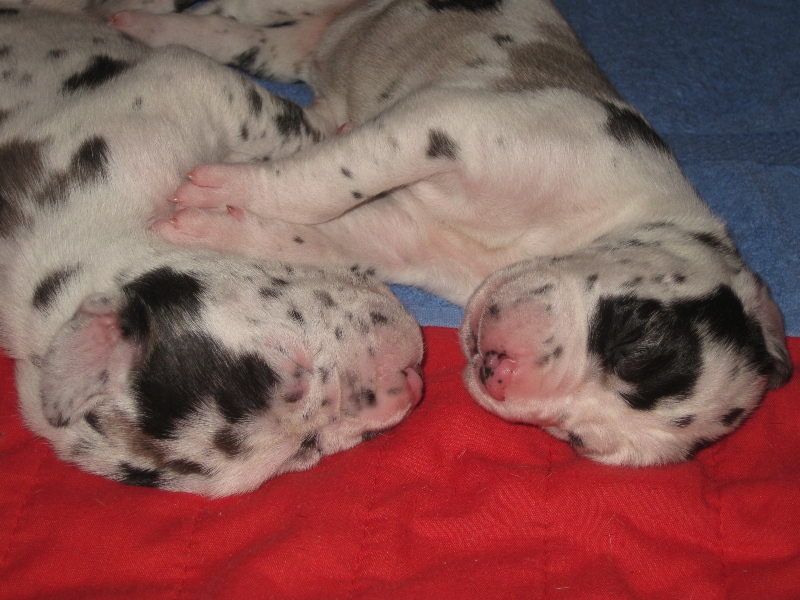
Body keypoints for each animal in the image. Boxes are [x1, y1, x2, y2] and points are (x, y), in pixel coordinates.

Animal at [25, 0, 793, 466]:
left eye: (574, 437)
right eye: (637, 335)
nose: (496, 370)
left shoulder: (398, 230)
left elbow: (316, 230)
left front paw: (216, 221)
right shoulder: (447, 126)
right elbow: (329, 175)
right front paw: (223, 189)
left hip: (283, 47)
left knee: (234, 34)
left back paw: (141, 24)